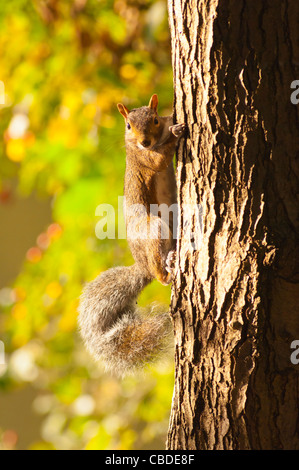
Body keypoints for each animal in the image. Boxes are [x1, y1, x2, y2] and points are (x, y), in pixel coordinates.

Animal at [78, 93, 185, 376]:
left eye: (154, 119)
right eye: (128, 126)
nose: (144, 141)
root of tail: (142, 267)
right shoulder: (143, 159)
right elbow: (159, 159)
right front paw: (177, 133)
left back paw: (172, 257)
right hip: (153, 228)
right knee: (159, 274)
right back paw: (166, 271)